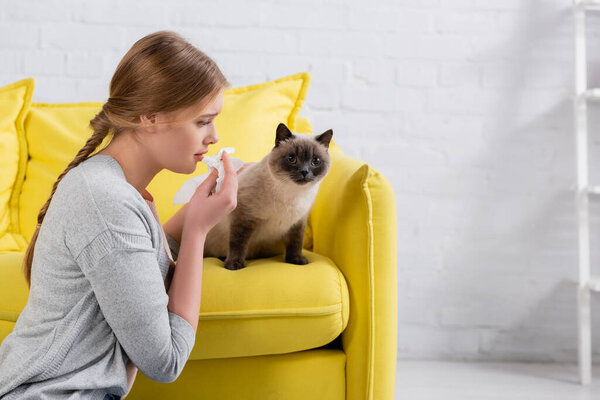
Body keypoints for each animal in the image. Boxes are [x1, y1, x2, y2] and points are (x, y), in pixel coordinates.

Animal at [203, 123, 332, 270]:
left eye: (315, 161)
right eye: (292, 159)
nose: (304, 172)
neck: (293, 193)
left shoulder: (298, 222)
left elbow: (296, 243)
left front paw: (295, 260)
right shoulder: (243, 218)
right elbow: (238, 244)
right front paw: (233, 266)